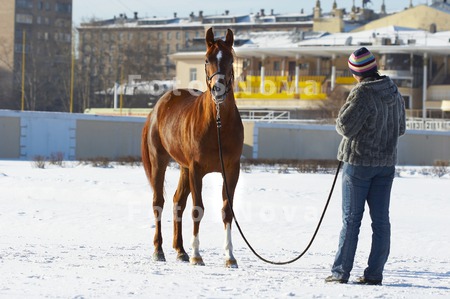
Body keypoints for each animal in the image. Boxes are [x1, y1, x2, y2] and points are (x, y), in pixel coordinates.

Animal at [142, 27, 244, 268]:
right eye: (207, 59)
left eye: (230, 59)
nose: (218, 89)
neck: (218, 125)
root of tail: (157, 108)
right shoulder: (197, 169)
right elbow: (198, 209)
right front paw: (197, 255)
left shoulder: (231, 170)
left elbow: (227, 210)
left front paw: (230, 257)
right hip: (160, 161)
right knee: (158, 202)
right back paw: (159, 250)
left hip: (184, 168)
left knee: (178, 201)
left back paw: (180, 250)